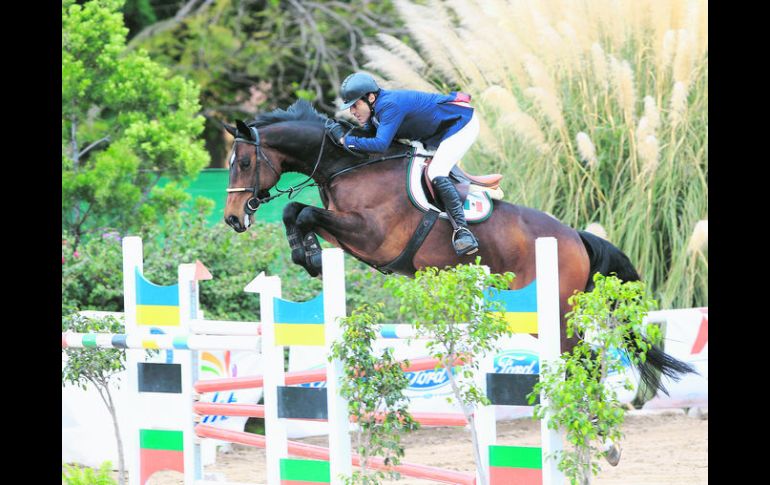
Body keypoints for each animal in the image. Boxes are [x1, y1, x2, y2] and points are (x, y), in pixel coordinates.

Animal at [224, 99, 696, 398]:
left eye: (244, 162)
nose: (232, 219)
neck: (348, 165)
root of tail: (574, 236)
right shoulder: (348, 233)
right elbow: (296, 213)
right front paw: (308, 256)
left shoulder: (372, 234)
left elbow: (303, 213)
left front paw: (310, 257)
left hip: (554, 311)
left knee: (586, 358)